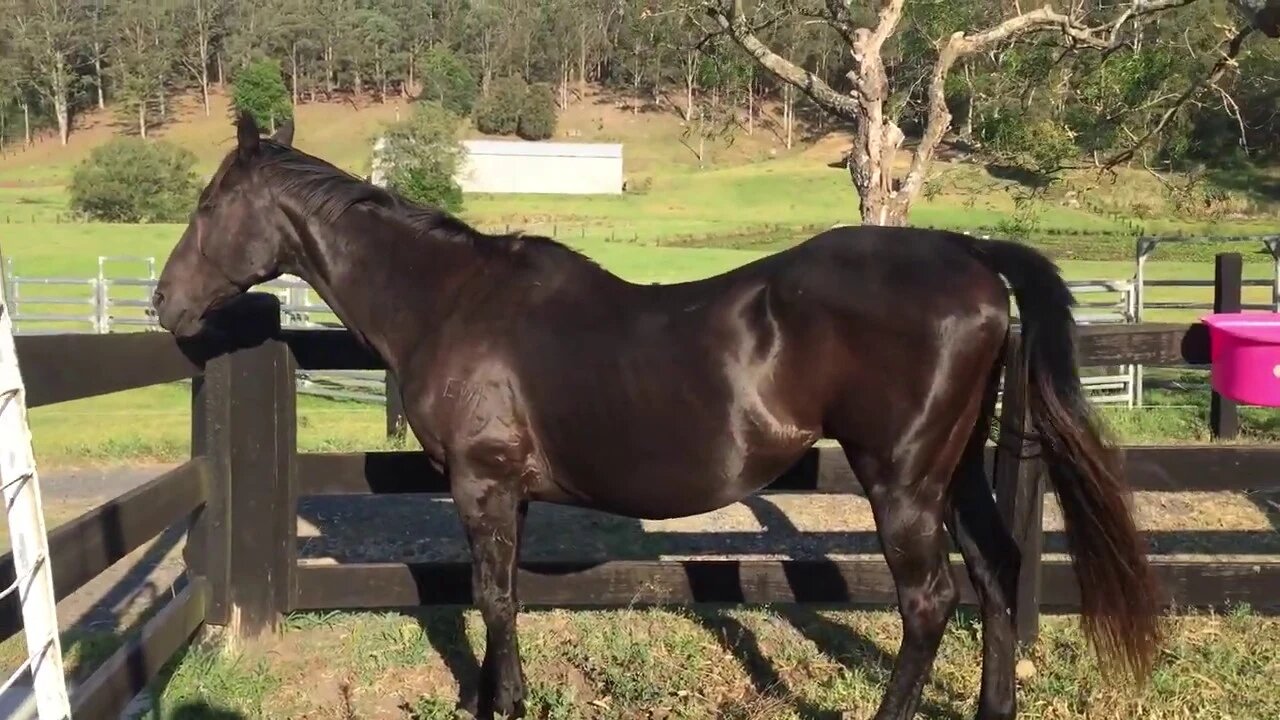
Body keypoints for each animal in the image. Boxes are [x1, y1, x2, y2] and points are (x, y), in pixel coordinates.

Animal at [154, 113, 1167, 717]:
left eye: (207, 205)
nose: (164, 302)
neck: (452, 302)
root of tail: (970, 254)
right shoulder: (512, 493)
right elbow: (506, 595)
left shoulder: (482, 483)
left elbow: (490, 596)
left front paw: (497, 703)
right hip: (952, 473)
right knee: (996, 576)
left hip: (904, 481)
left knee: (929, 602)